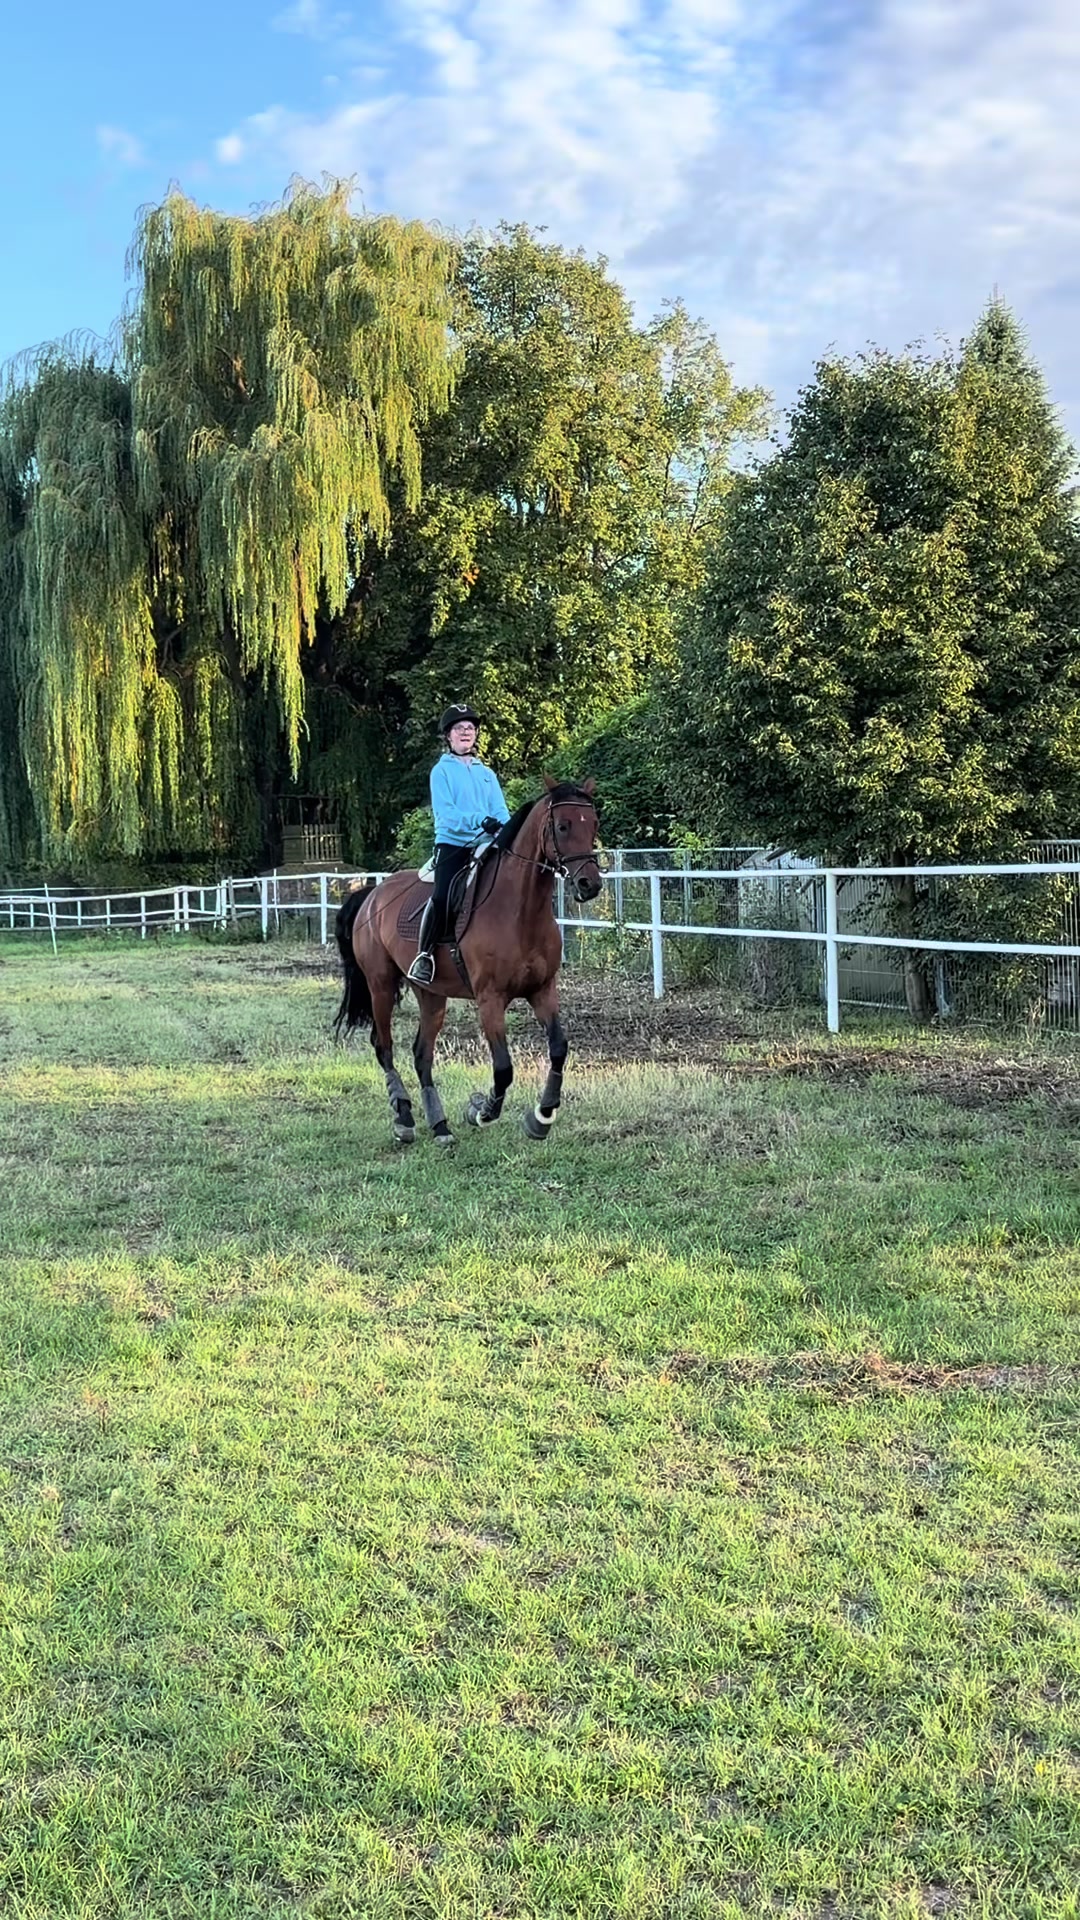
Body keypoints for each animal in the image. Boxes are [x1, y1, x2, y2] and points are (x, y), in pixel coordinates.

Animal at [333, 776, 602, 1146]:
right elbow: (503, 1067)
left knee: (422, 1054)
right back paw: (404, 1118)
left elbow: (559, 1048)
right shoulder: (490, 999)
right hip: (381, 986)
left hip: (431, 995)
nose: (590, 885)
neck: (519, 912)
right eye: (562, 826)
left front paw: (542, 1117)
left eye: (594, 825)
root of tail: (372, 894)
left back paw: (440, 1126)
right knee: (383, 1046)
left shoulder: (543, 990)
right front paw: (482, 1111)